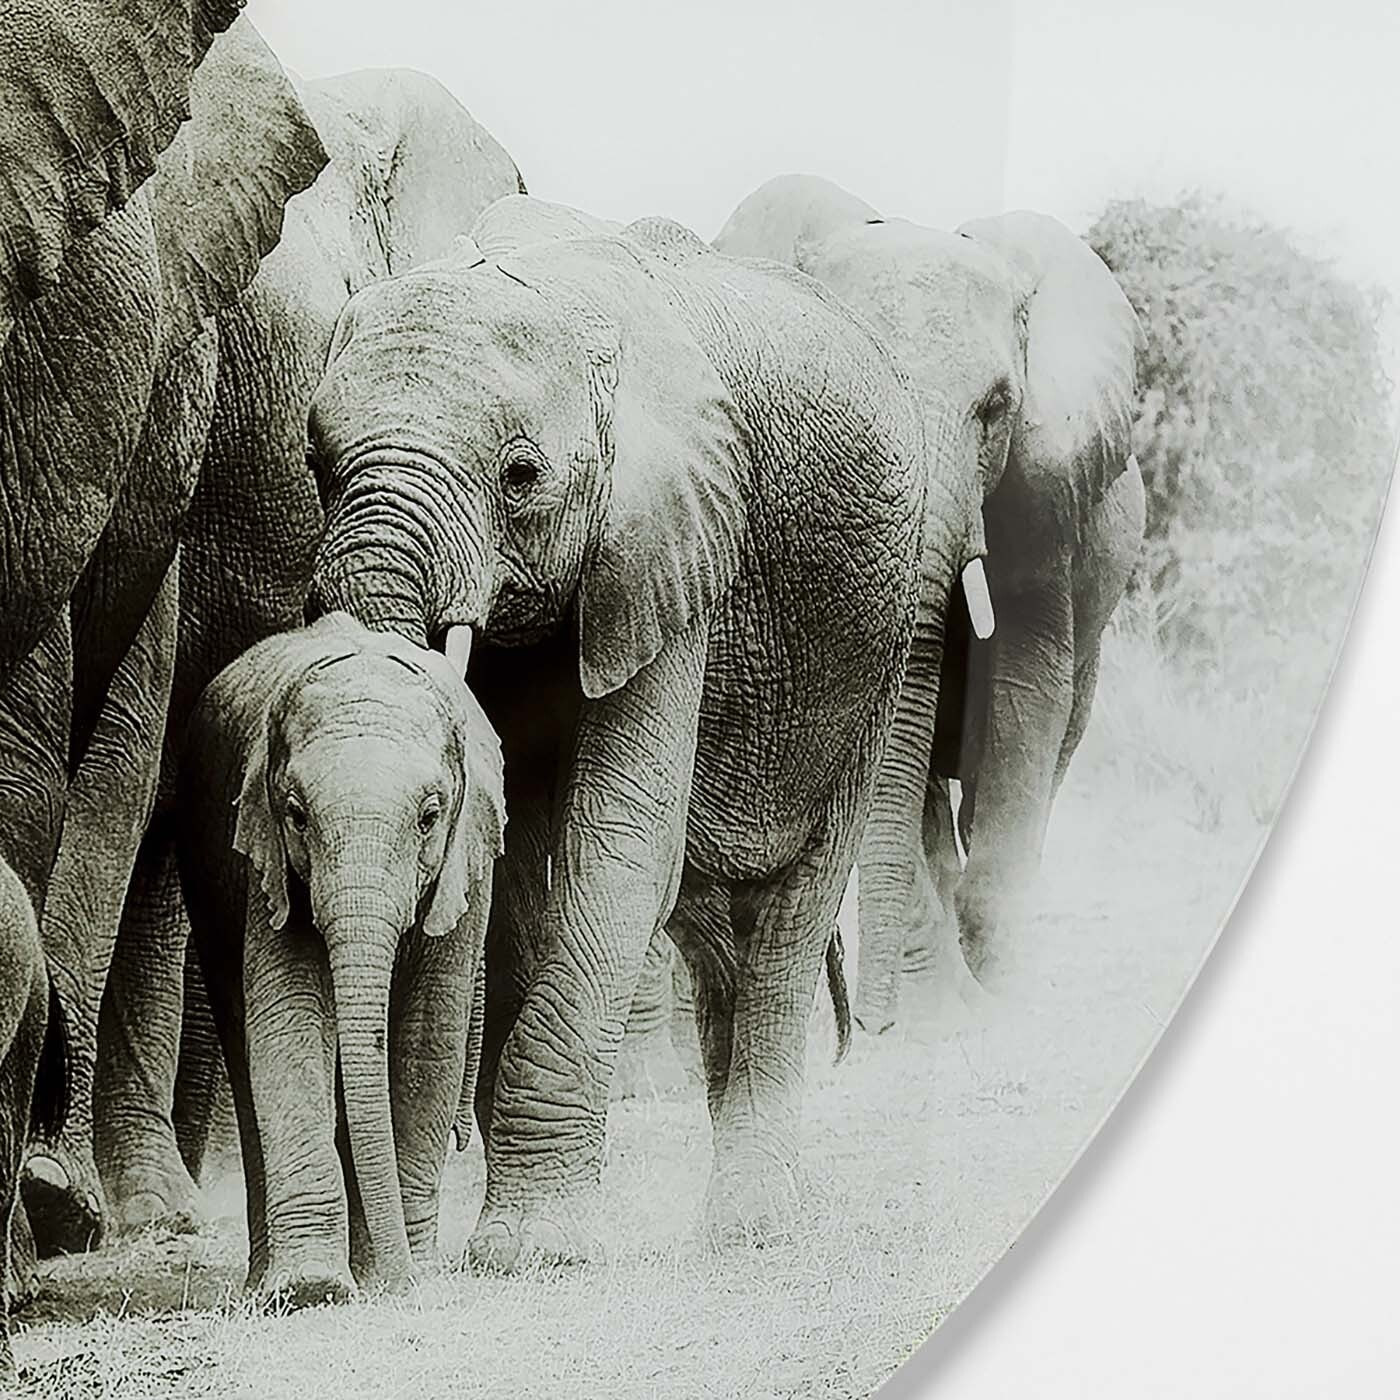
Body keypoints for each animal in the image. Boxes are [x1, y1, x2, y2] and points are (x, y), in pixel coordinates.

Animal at [172, 613, 504, 1299]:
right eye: (297, 816)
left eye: (430, 816)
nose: (408, 1283)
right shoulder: (265, 860)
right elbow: (289, 1017)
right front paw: (313, 1289)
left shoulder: (467, 869)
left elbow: (429, 1032)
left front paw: (399, 1277)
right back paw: (268, 1280)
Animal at [303, 194, 974, 1271]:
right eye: (317, 464)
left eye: (519, 475)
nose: (392, 1264)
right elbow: (525, 857)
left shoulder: (675, 545)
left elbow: (618, 846)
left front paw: (527, 1251)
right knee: (711, 925)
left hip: (872, 648)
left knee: (788, 910)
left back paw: (752, 1229)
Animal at [716, 175, 1142, 1030]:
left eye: (998, 407)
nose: (865, 1025)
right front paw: (930, 1011)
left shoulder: (1043, 493)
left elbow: (1024, 682)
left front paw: (993, 989)